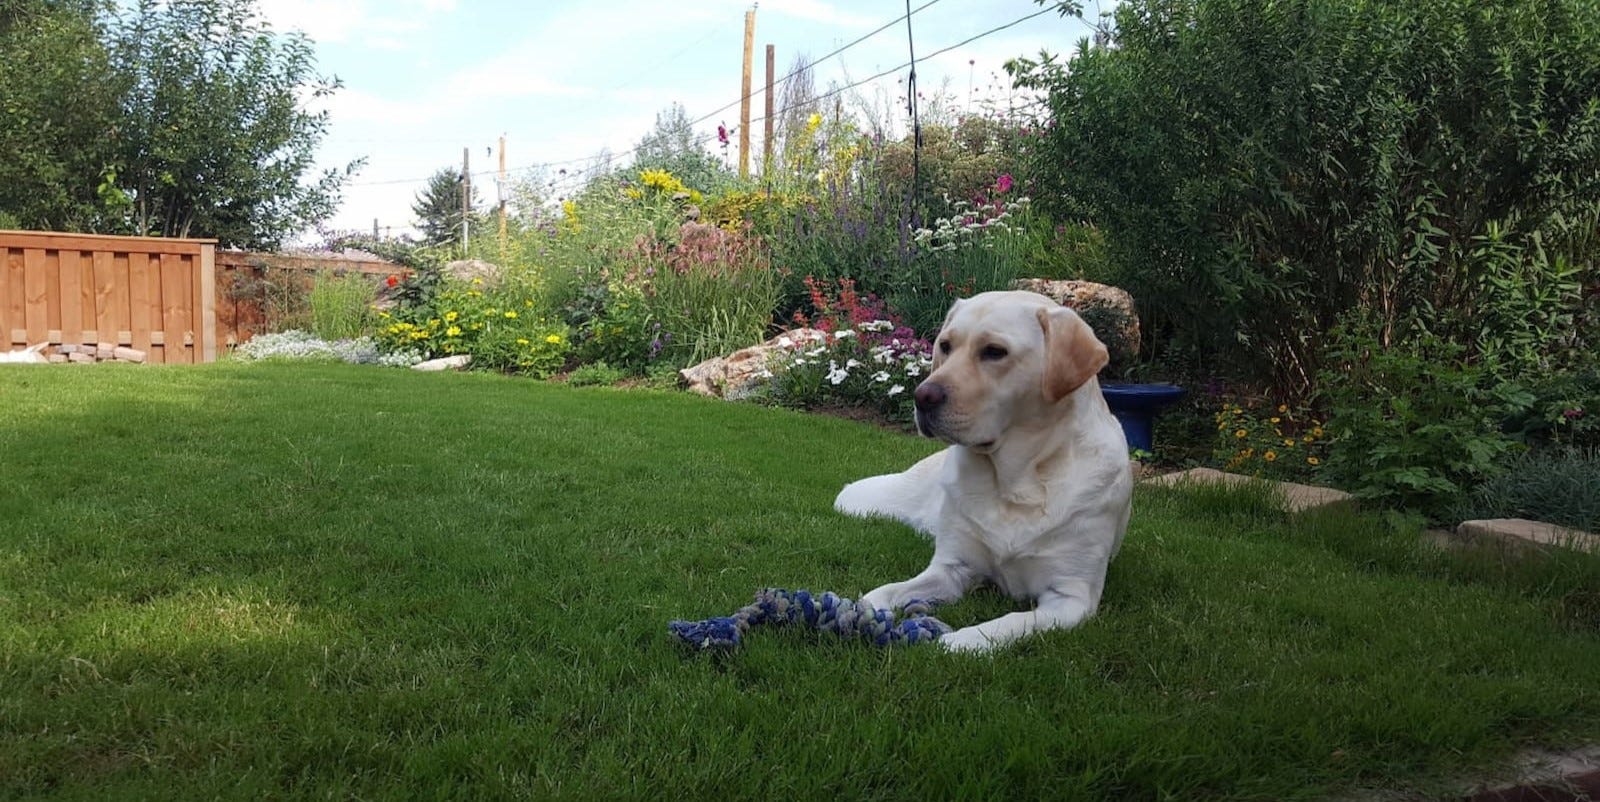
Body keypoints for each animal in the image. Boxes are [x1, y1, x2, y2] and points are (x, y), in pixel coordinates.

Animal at [832, 291, 1132, 653]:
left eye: (994, 351)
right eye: (945, 346)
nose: (921, 396)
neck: (1016, 484)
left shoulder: (1071, 597)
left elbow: (1012, 621)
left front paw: (960, 641)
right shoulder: (951, 569)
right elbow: (882, 592)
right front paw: (864, 614)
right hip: (859, 500)